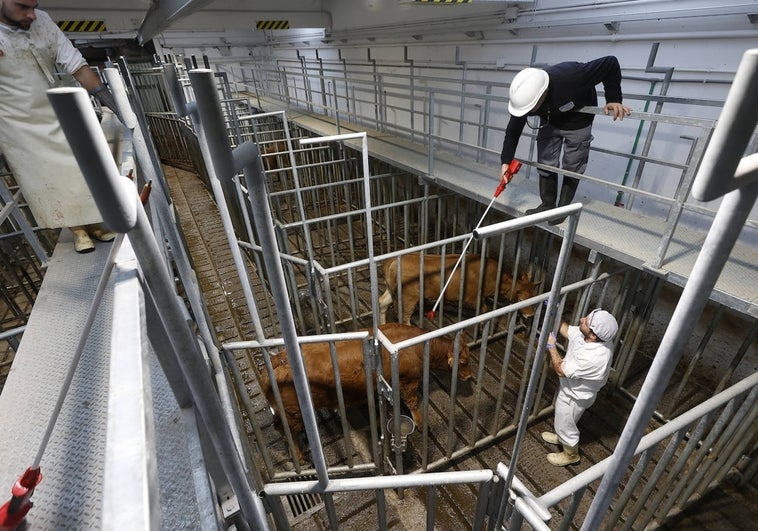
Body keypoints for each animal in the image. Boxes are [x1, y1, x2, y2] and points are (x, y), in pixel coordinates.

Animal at [264, 324, 472, 462]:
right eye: (463, 362)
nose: (470, 376)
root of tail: (277, 359)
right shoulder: (408, 381)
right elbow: (412, 402)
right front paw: (421, 423)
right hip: (292, 412)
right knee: (288, 434)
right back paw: (300, 457)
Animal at [380, 252, 540, 324]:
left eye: (533, 294)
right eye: (522, 298)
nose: (530, 315)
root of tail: (394, 260)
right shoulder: (473, 297)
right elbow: (484, 309)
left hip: (391, 290)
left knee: (382, 303)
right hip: (409, 297)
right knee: (404, 317)